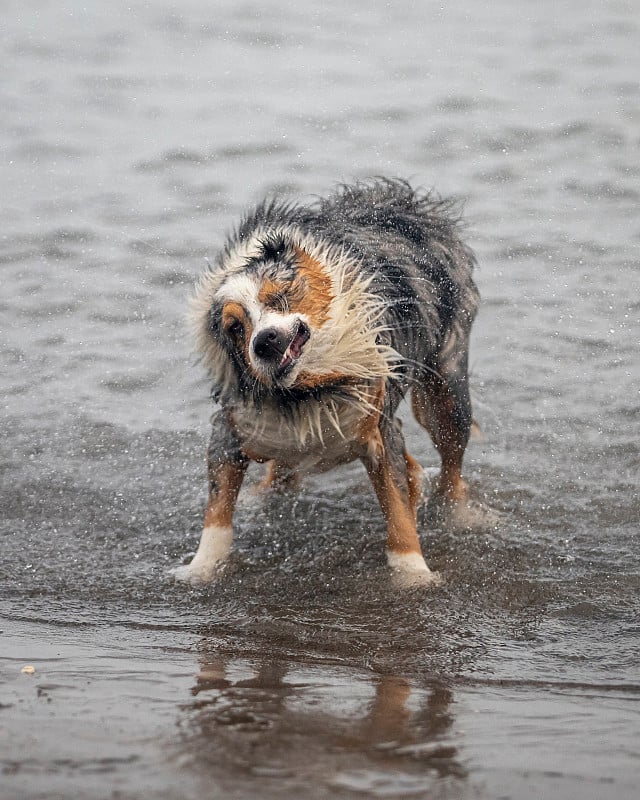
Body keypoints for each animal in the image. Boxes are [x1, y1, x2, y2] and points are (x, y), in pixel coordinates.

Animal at [172, 177, 478, 588]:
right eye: (235, 327)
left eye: (279, 297)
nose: (265, 341)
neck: (309, 389)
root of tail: (405, 202)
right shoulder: (232, 430)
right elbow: (216, 512)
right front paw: (200, 569)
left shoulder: (379, 429)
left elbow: (398, 509)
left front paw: (413, 574)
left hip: (447, 387)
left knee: (452, 463)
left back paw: (462, 514)